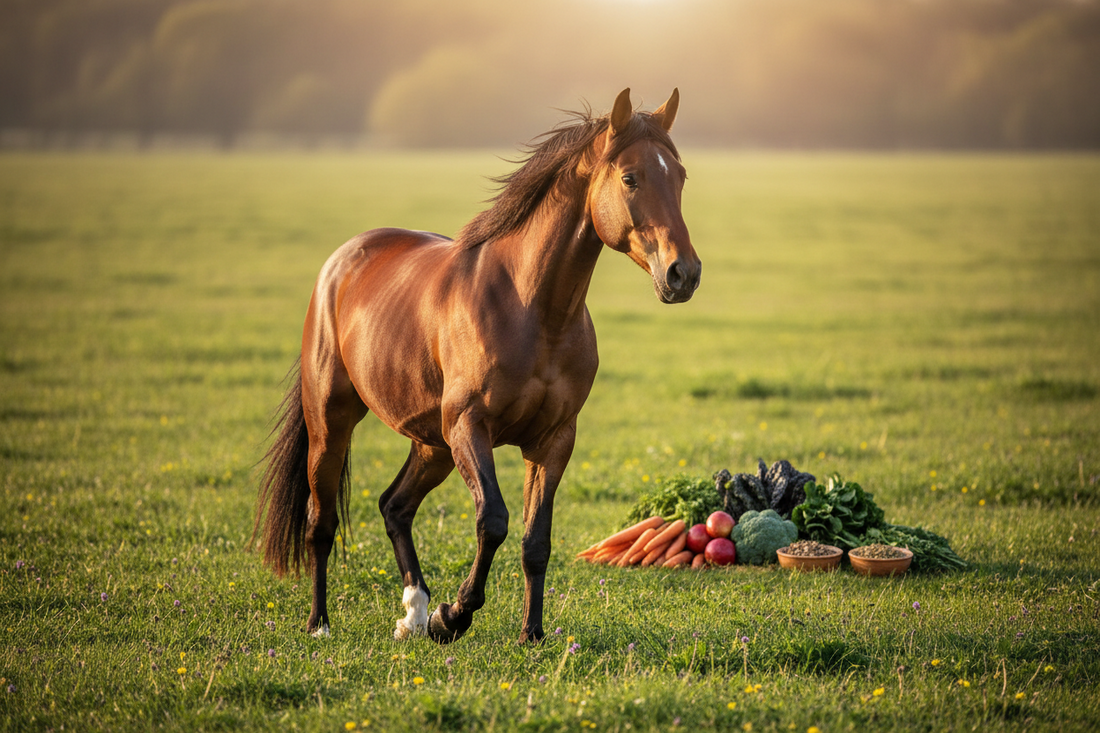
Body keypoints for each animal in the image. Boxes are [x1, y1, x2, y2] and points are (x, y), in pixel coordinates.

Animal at [253, 88, 701, 644]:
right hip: (332, 423)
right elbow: (494, 521)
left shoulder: (553, 439)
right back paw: (322, 624)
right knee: (321, 521)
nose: (683, 273)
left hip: (432, 443)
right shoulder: (471, 426)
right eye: (631, 177)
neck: (533, 309)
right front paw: (454, 616)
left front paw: (530, 633)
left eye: (679, 175)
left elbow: (536, 539)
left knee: (394, 506)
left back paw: (414, 613)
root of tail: (341, 262)